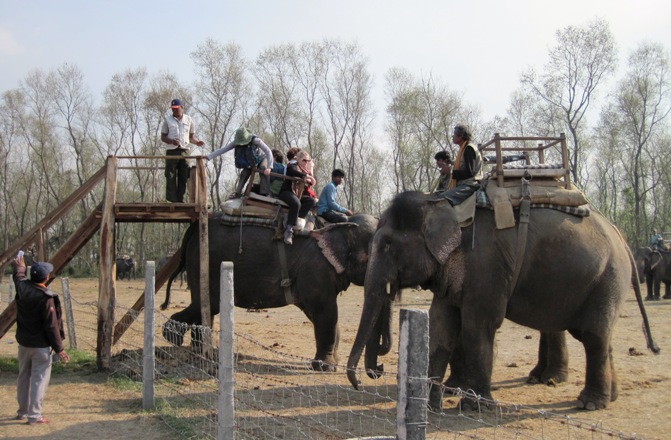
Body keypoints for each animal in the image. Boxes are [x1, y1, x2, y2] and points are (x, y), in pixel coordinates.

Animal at [162, 212, 379, 371]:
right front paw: (326, 368)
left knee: (205, 307)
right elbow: (325, 312)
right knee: (205, 304)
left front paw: (334, 360)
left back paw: (198, 350)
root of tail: (195, 227)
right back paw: (173, 337)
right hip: (203, 263)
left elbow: (319, 313)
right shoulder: (316, 269)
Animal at [347, 191, 659, 411]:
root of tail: (621, 236)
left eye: (387, 244)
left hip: (608, 277)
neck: (442, 203)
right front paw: (430, 406)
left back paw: (589, 403)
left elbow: (477, 327)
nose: (370, 377)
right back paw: (609, 397)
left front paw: (475, 407)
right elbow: (441, 327)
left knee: (593, 335)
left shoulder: (486, 265)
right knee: (598, 336)